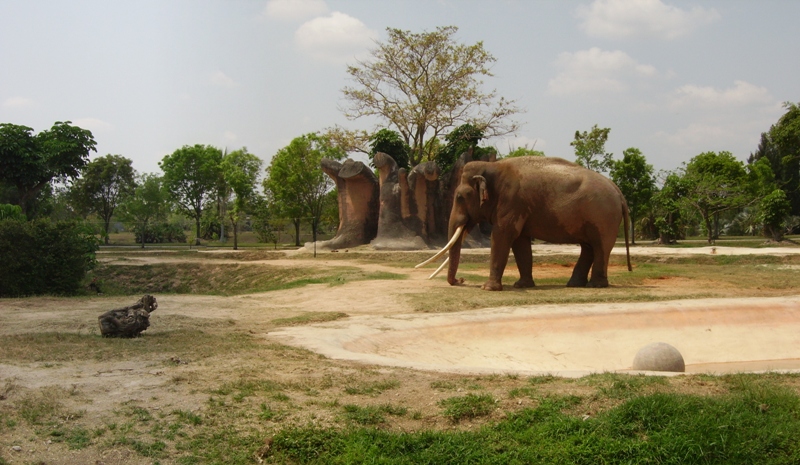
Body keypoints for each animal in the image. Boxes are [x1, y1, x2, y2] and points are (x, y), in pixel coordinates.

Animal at [417, 156, 631, 291]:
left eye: (460, 197)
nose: (461, 279)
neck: (493, 166)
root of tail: (618, 191)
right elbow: (520, 242)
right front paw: (522, 285)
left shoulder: (512, 201)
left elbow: (502, 236)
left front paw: (488, 288)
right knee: (588, 246)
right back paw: (575, 284)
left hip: (604, 217)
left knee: (600, 246)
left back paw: (595, 285)